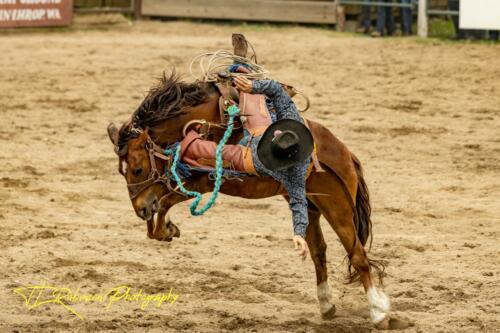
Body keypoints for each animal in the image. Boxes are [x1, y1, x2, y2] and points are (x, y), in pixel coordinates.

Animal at [107, 72, 392, 326]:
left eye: (137, 169)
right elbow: (162, 204)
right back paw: (327, 305)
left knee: (358, 256)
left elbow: (168, 198)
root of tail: (346, 154)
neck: (212, 119)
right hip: (310, 205)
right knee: (318, 252)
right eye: (121, 171)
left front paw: (167, 228)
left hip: (337, 206)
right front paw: (165, 227)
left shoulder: (208, 177)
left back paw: (379, 314)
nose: (140, 209)